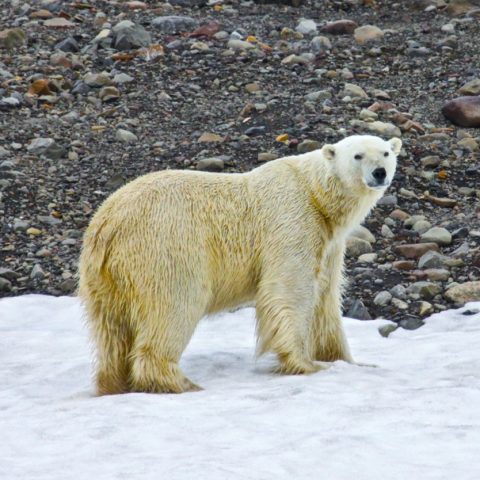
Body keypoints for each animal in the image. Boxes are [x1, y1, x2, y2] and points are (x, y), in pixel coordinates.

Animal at [79, 134, 402, 394]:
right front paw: (306, 364)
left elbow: (325, 299)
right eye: (358, 155)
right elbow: (289, 288)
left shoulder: (330, 244)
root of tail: (108, 223)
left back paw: (113, 383)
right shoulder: (291, 221)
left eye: (386, 152)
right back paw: (178, 382)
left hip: (103, 275)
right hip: (165, 247)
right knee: (173, 306)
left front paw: (346, 361)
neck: (317, 196)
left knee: (111, 333)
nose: (379, 173)